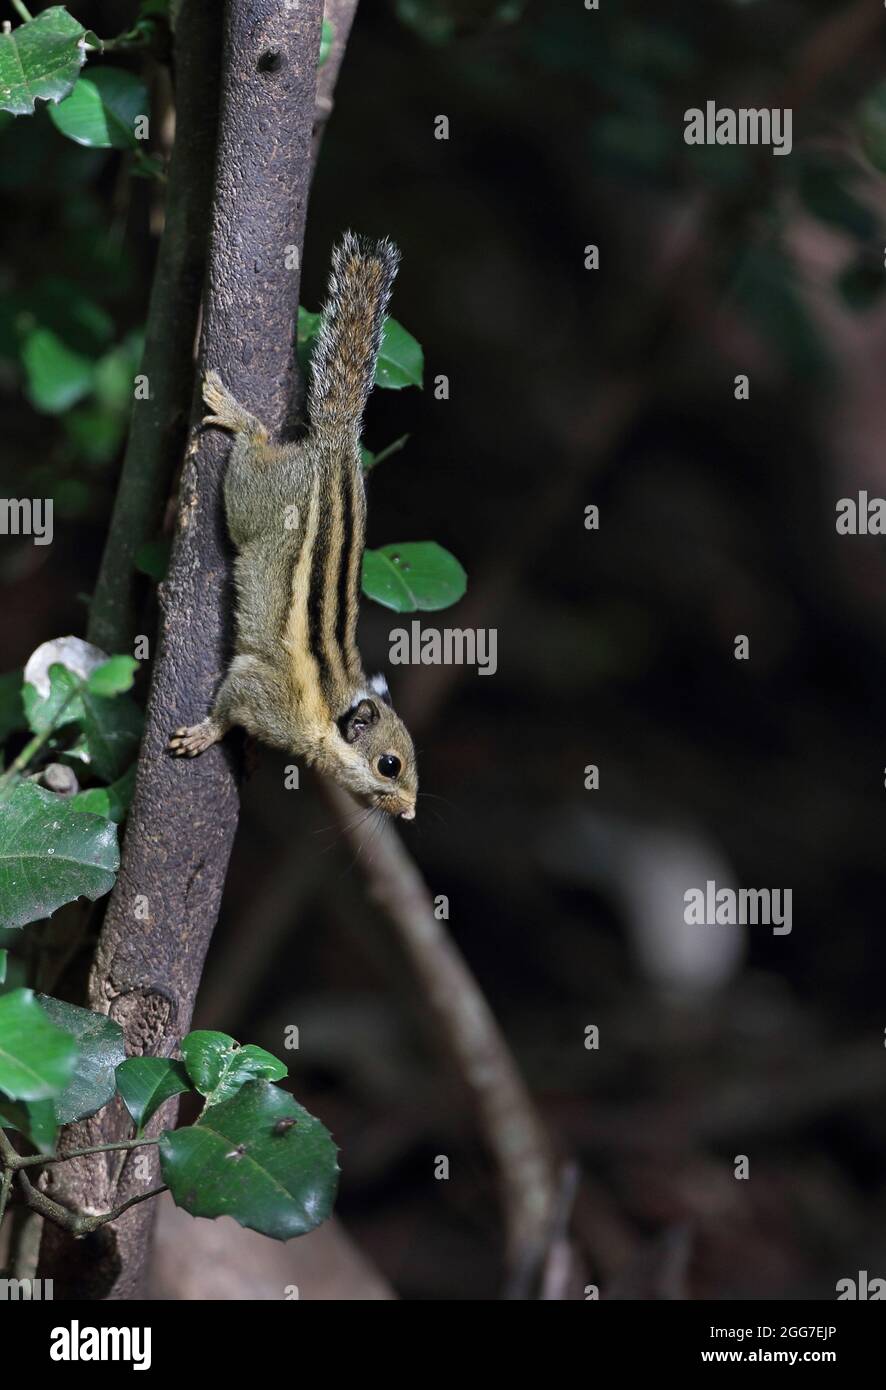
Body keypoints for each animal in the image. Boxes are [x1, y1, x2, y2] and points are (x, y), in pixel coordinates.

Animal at [168, 233, 417, 817]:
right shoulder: (260, 690)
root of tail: (335, 447)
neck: (327, 714)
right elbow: (229, 702)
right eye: (388, 765)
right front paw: (208, 733)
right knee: (253, 449)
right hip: (254, 498)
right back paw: (240, 419)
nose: (411, 810)